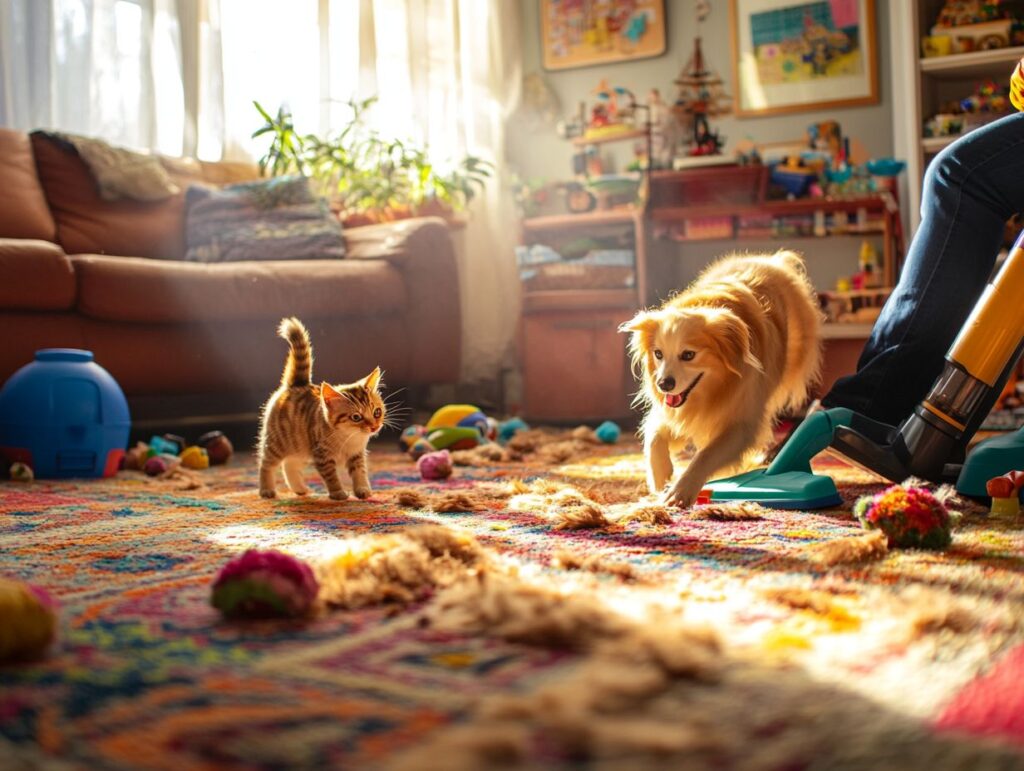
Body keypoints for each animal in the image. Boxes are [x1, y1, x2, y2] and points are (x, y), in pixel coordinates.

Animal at [258, 317, 385, 501]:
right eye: (356, 417)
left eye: (377, 412)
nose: (374, 427)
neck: (348, 438)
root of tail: (297, 384)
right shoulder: (322, 456)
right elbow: (331, 476)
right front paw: (338, 493)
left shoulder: (357, 455)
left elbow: (360, 472)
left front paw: (362, 489)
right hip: (278, 442)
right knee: (266, 464)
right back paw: (266, 490)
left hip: (301, 446)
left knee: (289, 464)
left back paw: (300, 489)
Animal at [614, 249, 823, 507]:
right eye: (658, 353)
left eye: (688, 355)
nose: (663, 384)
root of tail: (770, 260)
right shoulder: (670, 411)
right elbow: (654, 436)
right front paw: (660, 477)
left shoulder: (741, 423)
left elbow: (706, 454)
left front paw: (680, 490)